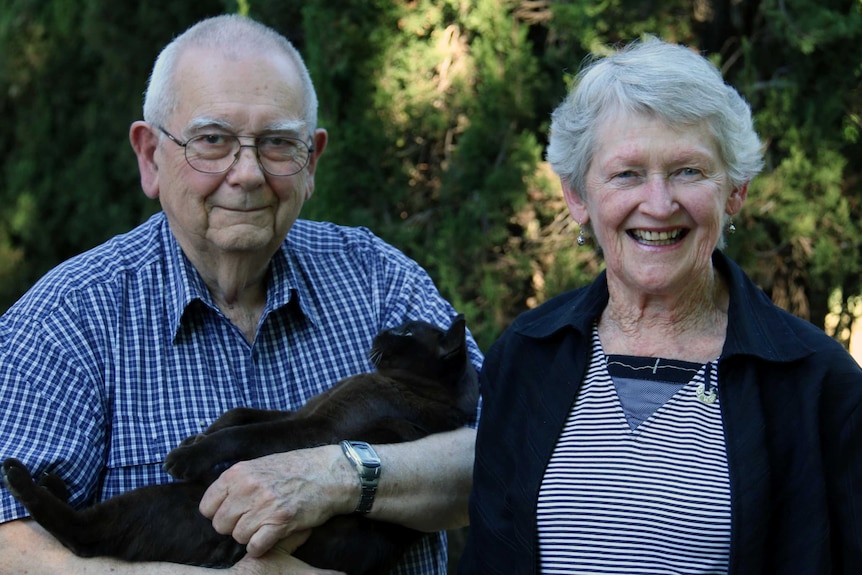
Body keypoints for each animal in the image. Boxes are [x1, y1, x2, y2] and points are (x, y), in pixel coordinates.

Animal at [1, 318, 480, 572]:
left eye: (407, 332)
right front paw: (197, 437)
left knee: (84, 537)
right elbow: (239, 413)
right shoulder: (299, 412)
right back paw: (49, 478)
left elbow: (243, 434)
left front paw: (187, 454)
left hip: (166, 504)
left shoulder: (313, 429)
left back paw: (19, 476)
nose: (381, 330)